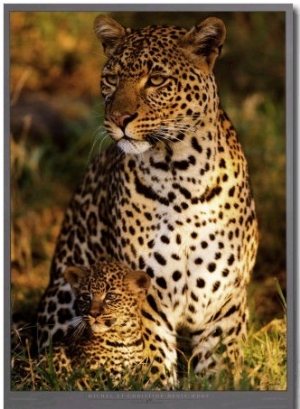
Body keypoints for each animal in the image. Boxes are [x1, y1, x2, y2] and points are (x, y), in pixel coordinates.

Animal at [37, 14, 258, 388]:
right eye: (111, 79)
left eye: (155, 80)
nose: (118, 119)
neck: (182, 174)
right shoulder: (149, 301)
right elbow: (154, 367)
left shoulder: (226, 302)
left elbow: (219, 370)